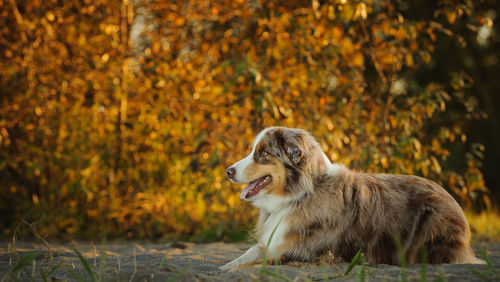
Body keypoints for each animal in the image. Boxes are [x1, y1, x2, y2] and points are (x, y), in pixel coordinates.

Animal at [220, 126, 484, 270]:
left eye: (263, 153)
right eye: (254, 150)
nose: (228, 171)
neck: (300, 195)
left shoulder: (305, 254)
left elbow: (254, 263)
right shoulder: (273, 243)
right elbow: (248, 254)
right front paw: (225, 265)